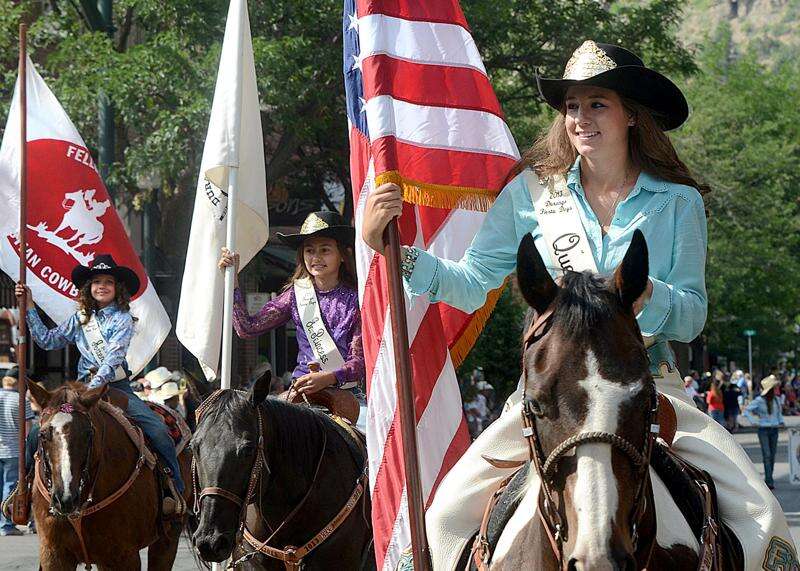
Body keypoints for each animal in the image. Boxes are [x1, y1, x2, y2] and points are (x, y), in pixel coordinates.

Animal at [27, 380, 193, 571]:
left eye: (88, 433)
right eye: (42, 435)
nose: (65, 498)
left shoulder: (124, 557)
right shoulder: (54, 555)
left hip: (167, 538)